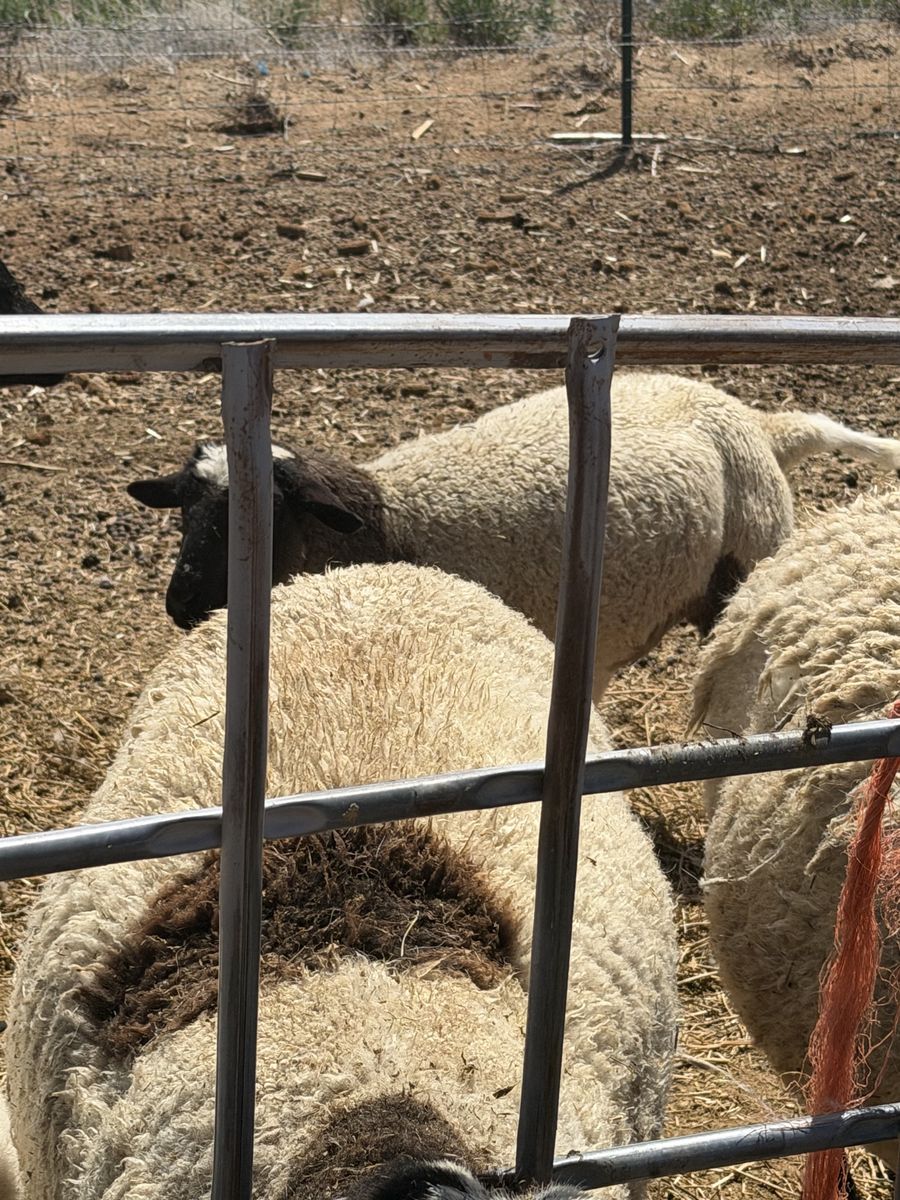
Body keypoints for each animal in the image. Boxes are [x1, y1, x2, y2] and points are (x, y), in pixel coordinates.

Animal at [127, 372, 900, 697]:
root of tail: (763, 426)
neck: (390, 521)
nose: (181, 606)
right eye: (187, 512)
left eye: (261, 517)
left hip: (745, 568)